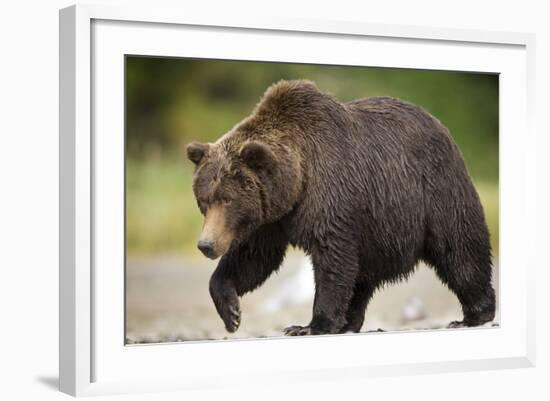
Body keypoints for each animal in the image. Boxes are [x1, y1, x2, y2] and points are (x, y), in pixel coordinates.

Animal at [188, 79, 498, 334]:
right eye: (204, 200)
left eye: (227, 198)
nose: (206, 245)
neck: (296, 183)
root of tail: (441, 125)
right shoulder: (271, 216)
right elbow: (253, 257)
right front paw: (231, 312)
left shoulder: (329, 195)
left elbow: (332, 257)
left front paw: (311, 325)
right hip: (376, 227)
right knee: (362, 276)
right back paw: (350, 321)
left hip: (434, 192)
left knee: (458, 248)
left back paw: (473, 314)